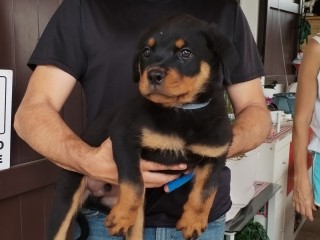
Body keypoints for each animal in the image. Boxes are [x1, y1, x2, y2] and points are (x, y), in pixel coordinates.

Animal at [49, 14, 238, 240]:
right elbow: (134, 181)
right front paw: (121, 216)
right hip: (68, 190)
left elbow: (207, 190)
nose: (153, 75)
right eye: (147, 52)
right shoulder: (124, 136)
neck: (182, 111)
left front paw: (193, 221)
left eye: (186, 53)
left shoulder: (216, 153)